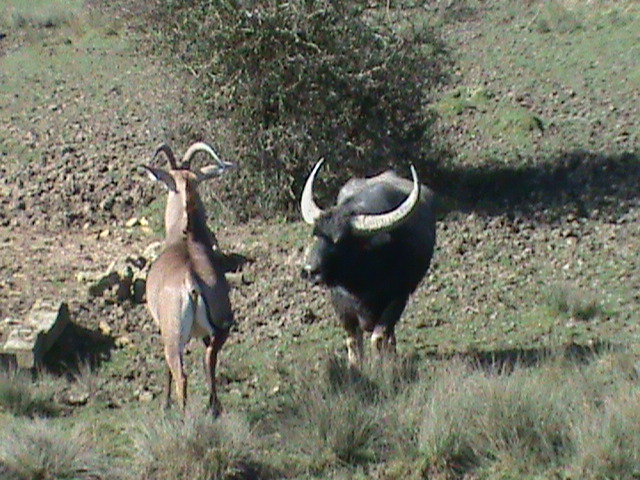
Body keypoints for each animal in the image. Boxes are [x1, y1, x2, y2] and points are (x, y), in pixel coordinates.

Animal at [142, 142, 236, 415]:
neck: (184, 238)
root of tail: (191, 280)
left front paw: (164, 403)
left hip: (173, 339)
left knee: (181, 375)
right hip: (222, 327)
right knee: (210, 358)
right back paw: (214, 407)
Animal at [300, 159, 436, 365]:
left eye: (340, 241)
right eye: (315, 234)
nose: (310, 270)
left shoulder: (398, 297)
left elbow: (378, 338)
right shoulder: (340, 303)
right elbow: (353, 341)